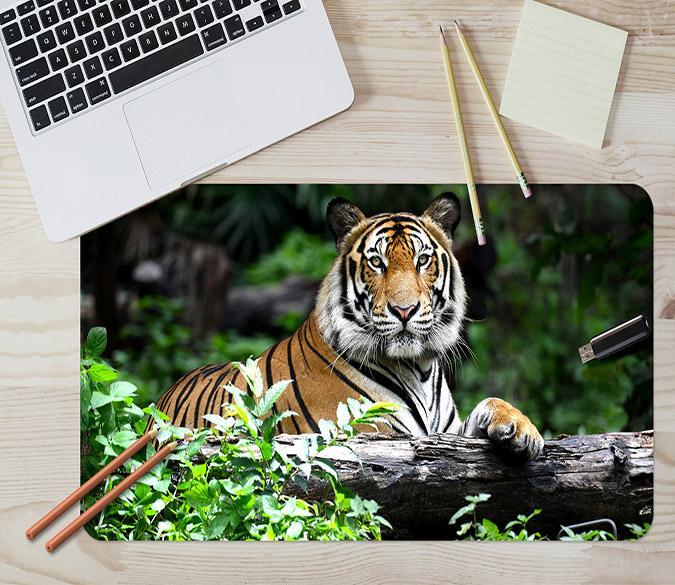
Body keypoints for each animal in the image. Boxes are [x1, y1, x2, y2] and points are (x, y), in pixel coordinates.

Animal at [153, 193, 544, 460]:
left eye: (422, 260)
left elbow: (491, 402)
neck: (419, 368)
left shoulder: (447, 434)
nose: (405, 310)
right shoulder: (373, 433)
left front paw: (522, 430)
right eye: (377, 262)